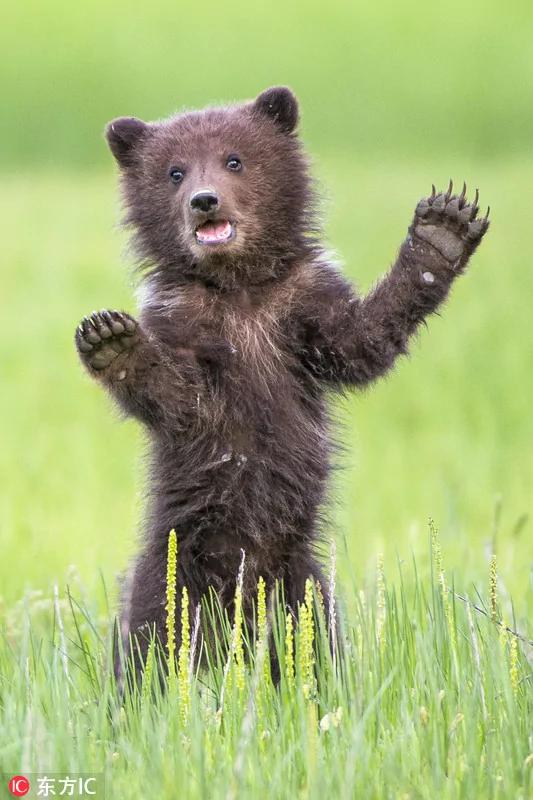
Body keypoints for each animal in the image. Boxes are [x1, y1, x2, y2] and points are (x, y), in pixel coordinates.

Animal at [75, 86, 489, 675]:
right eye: (175, 171)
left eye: (234, 160)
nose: (205, 200)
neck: (238, 287)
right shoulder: (184, 320)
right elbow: (180, 399)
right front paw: (111, 339)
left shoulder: (302, 306)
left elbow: (362, 341)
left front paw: (441, 232)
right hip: (173, 574)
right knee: (152, 643)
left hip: (303, 585)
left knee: (316, 644)